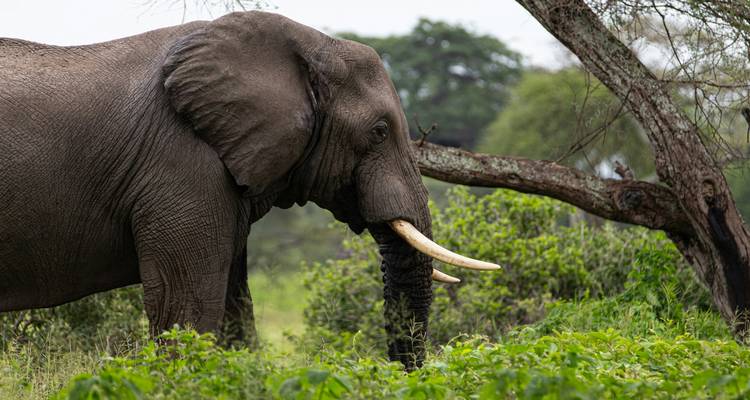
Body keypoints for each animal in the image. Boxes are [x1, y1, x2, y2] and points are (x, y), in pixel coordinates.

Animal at [0, 11, 497, 369]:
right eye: (378, 132)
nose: (405, 373)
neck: (305, 45)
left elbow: (235, 308)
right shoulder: (182, 162)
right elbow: (188, 306)